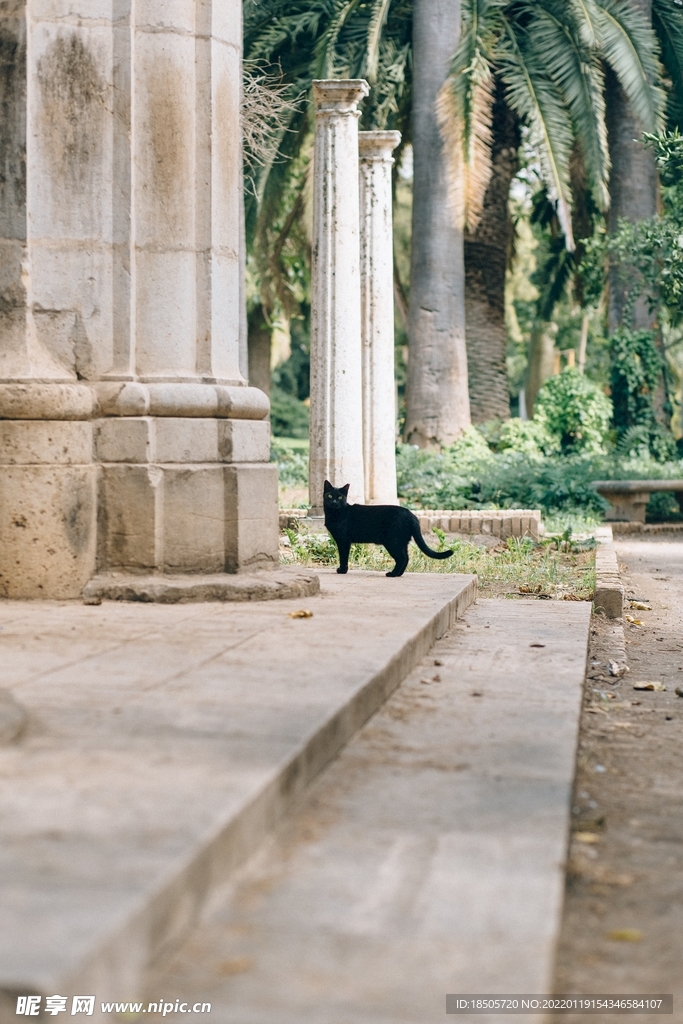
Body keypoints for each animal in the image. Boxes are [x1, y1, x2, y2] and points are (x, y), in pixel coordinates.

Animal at [325, 479, 454, 577]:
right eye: (330, 496)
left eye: (340, 497)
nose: (334, 502)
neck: (335, 514)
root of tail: (411, 514)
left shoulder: (343, 541)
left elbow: (343, 557)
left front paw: (342, 570)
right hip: (401, 542)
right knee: (406, 557)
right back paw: (398, 574)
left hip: (393, 542)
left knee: (402, 558)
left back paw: (392, 574)